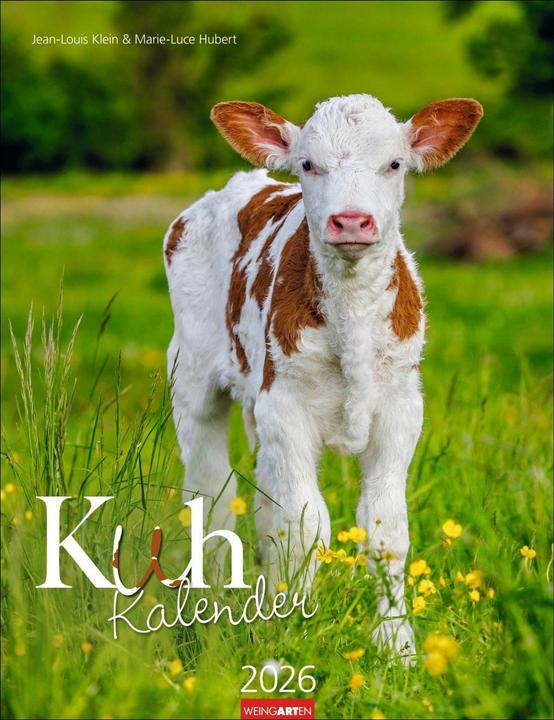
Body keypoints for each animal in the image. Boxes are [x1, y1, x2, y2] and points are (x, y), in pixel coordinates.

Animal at [163, 94, 483, 660]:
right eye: (309, 164)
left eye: (394, 164)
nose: (350, 221)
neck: (351, 323)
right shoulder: (284, 406)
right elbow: (305, 525)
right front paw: (293, 631)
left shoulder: (401, 408)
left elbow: (384, 528)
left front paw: (397, 645)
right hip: (192, 378)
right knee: (212, 498)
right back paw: (212, 607)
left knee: (263, 505)